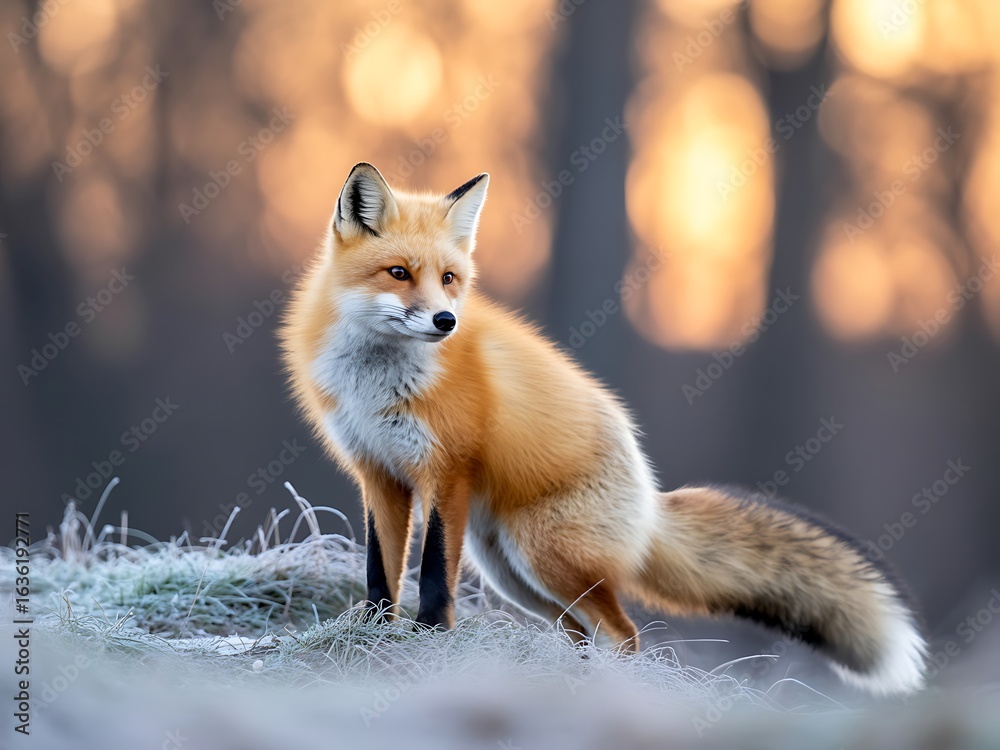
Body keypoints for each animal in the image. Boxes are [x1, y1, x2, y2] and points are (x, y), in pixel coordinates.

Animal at [279, 162, 928, 697]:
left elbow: (435, 574)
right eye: (398, 273)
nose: (446, 321)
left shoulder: (447, 472)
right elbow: (379, 574)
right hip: (515, 573)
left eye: (449, 278)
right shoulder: (379, 473)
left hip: (545, 558)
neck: (378, 383)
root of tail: (649, 494)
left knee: (625, 633)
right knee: (584, 632)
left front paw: (429, 643)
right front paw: (373, 637)